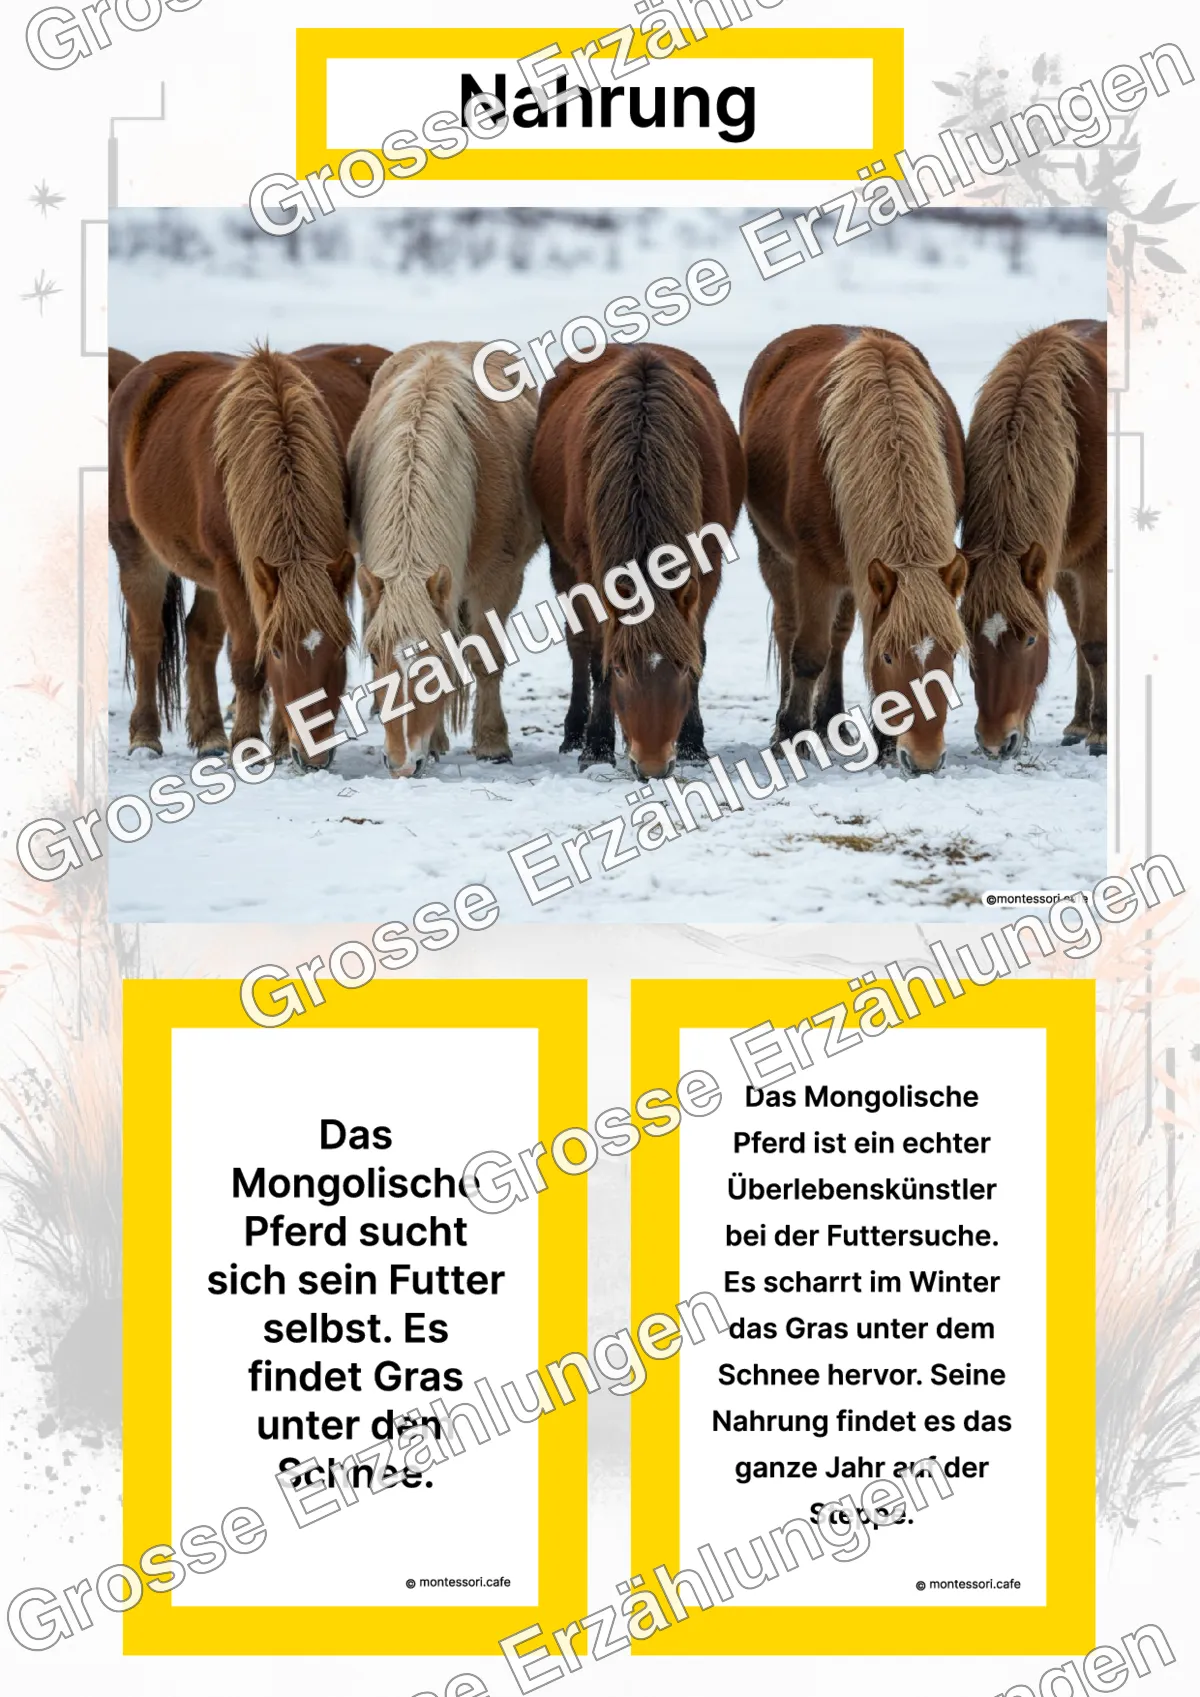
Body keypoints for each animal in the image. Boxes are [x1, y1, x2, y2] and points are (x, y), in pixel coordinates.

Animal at [110, 344, 387, 767]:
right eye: (276, 649)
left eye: (340, 648)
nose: (314, 756)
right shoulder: (233, 570)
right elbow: (247, 662)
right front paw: (249, 744)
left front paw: (280, 743)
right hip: (138, 550)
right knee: (147, 639)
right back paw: (145, 737)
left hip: (207, 573)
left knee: (200, 638)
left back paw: (210, 736)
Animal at [348, 341, 542, 778]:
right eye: (374, 655)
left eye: (433, 661)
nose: (402, 764)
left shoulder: (497, 582)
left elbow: (487, 658)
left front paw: (493, 744)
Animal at [530, 342, 743, 780]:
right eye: (622, 669)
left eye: (680, 668)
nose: (652, 765)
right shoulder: (589, 571)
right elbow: (597, 654)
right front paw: (596, 747)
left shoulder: (707, 568)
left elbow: (698, 645)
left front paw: (693, 744)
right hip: (561, 564)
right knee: (578, 644)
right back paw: (574, 733)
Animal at [741, 326, 967, 777]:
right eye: (889, 658)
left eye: (951, 653)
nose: (924, 760)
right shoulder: (813, 569)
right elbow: (808, 654)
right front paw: (792, 735)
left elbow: (846, 645)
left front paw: (883, 743)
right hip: (776, 556)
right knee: (789, 629)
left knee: (840, 640)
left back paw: (831, 721)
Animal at [960, 319, 1107, 757]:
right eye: (969, 640)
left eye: (1028, 640)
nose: (995, 742)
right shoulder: (1057, 564)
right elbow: (1079, 637)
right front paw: (1080, 724)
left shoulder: (1094, 561)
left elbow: (1095, 644)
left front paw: (1101, 733)